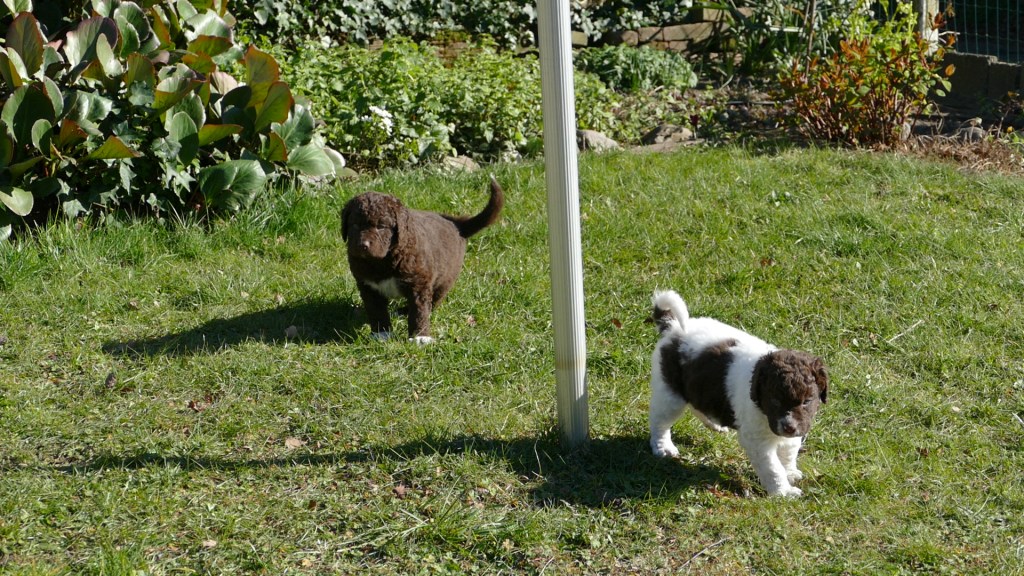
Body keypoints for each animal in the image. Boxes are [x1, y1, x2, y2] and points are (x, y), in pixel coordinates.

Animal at [341, 178, 504, 343]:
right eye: (355, 224)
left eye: (381, 226)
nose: (363, 245)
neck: (382, 261)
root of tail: (456, 224)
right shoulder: (368, 286)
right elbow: (376, 311)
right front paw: (381, 334)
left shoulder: (419, 283)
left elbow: (419, 311)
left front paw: (420, 337)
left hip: (445, 279)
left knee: (434, 300)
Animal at [649, 290, 828, 497]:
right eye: (775, 400)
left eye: (807, 401)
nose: (789, 427)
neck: (760, 404)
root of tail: (672, 327)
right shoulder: (757, 440)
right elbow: (772, 468)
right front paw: (783, 492)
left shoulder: (798, 424)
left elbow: (789, 451)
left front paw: (790, 472)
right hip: (670, 394)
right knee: (660, 422)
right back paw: (663, 447)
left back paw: (714, 423)